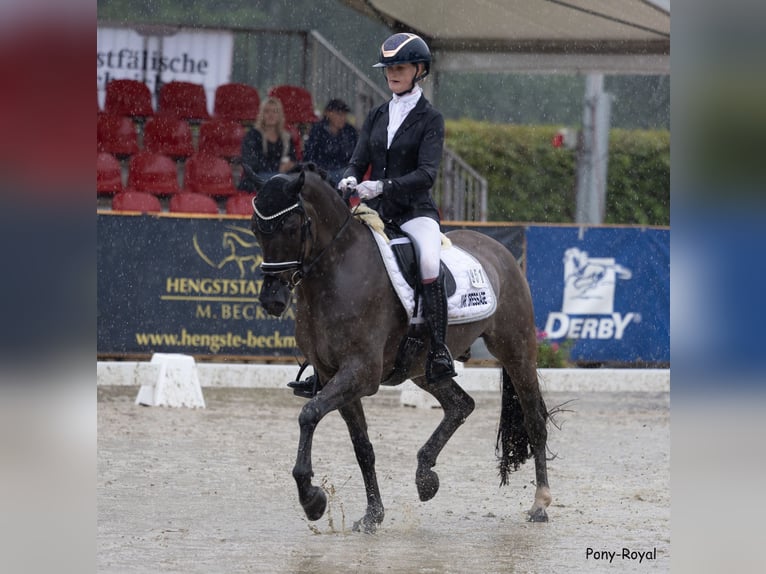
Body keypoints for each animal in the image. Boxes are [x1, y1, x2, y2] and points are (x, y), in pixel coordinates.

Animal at [252, 168, 552, 536]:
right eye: (256, 229)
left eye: (293, 227)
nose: (272, 300)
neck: (336, 273)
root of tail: (500, 250)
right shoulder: (331, 373)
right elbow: (362, 447)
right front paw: (372, 514)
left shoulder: (361, 373)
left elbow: (309, 414)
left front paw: (312, 499)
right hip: (424, 368)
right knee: (461, 405)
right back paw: (425, 477)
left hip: (516, 349)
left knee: (534, 419)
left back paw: (540, 503)